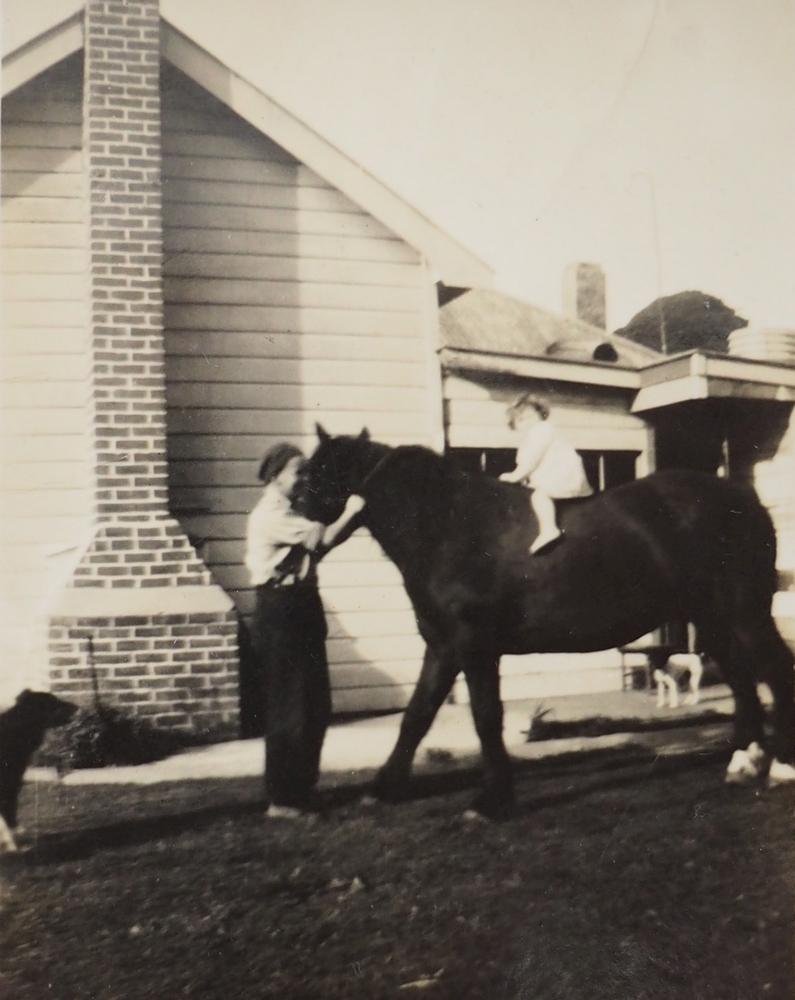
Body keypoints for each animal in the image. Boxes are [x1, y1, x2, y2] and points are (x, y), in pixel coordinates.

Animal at [296, 426, 795, 816]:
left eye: (315, 472)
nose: (293, 525)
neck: (448, 525)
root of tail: (744, 500)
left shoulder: (475, 646)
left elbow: (485, 717)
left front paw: (492, 800)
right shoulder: (442, 647)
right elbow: (417, 715)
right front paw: (382, 788)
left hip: (745, 613)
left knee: (775, 671)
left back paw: (781, 766)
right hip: (714, 620)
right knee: (742, 680)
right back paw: (743, 762)